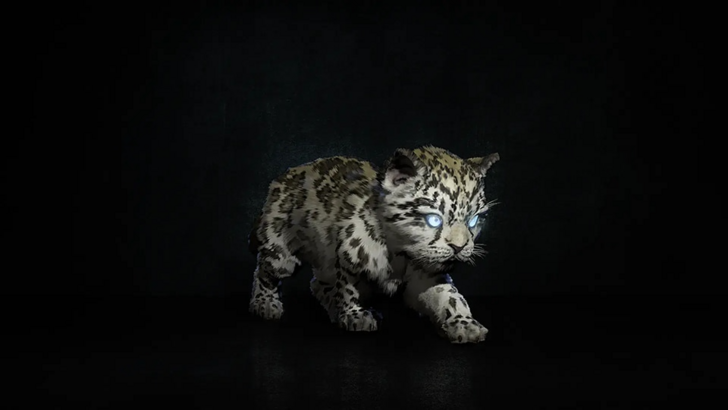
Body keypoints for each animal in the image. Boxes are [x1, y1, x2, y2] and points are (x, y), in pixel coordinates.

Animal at [247, 145, 500, 343]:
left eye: (474, 220)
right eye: (433, 219)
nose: (459, 247)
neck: (400, 254)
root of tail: (286, 175)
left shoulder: (428, 276)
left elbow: (451, 296)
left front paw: (465, 324)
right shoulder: (348, 259)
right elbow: (347, 288)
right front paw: (355, 315)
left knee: (317, 284)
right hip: (281, 252)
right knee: (265, 271)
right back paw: (265, 305)